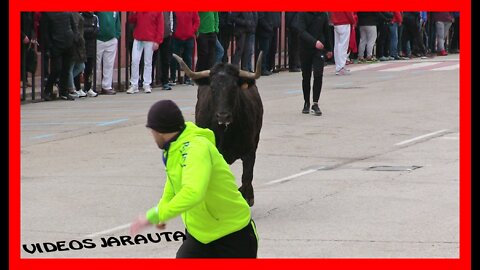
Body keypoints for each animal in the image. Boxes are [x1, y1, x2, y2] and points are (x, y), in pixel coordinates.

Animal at [172, 52, 264, 207]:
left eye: (234, 87)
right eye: (213, 87)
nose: (223, 116)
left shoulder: (250, 151)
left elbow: (246, 177)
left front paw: (246, 198)